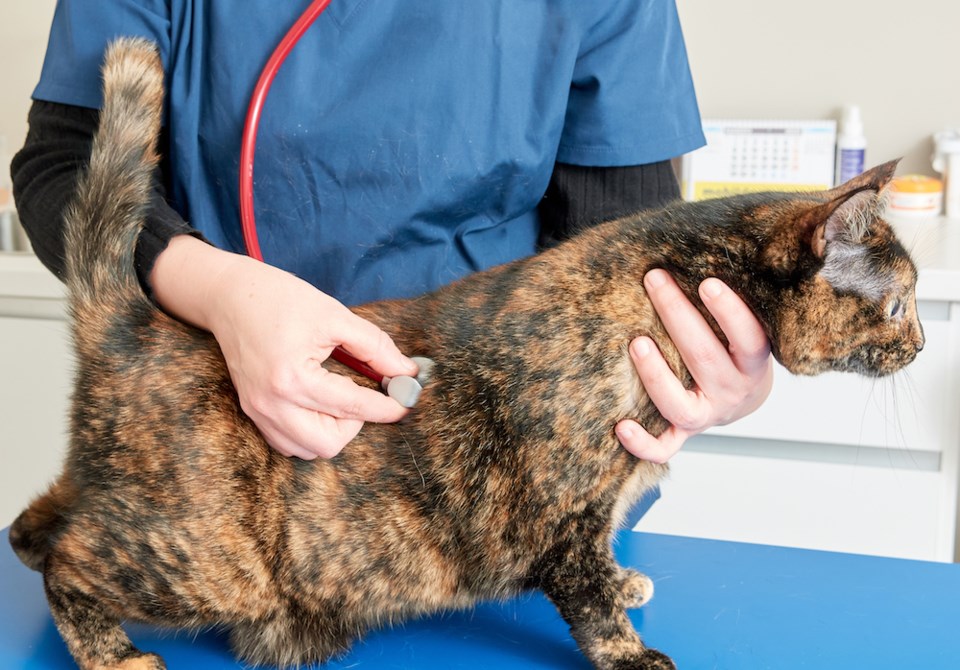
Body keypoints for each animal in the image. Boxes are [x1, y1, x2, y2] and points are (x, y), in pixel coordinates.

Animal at [5, 40, 924, 670]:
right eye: (901, 303)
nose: (919, 346)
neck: (675, 277)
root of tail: (131, 322)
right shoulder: (564, 514)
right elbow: (588, 598)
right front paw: (631, 651)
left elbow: (606, 567)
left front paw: (628, 583)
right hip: (203, 560)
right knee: (66, 563)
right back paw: (113, 654)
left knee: (39, 520)